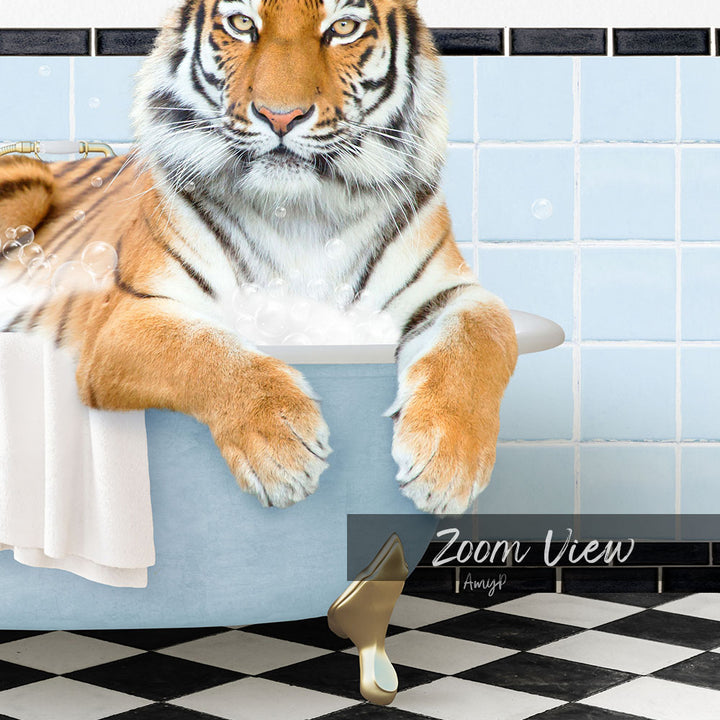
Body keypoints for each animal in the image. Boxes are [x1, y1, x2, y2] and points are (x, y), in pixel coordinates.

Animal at [0, 0, 517, 514]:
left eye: (343, 27)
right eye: (242, 23)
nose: (281, 116)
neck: (301, 214)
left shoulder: (453, 292)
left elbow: (479, 339)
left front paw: (447, 464)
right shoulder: (123, 317)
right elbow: (203, 349)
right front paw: (282, 449)